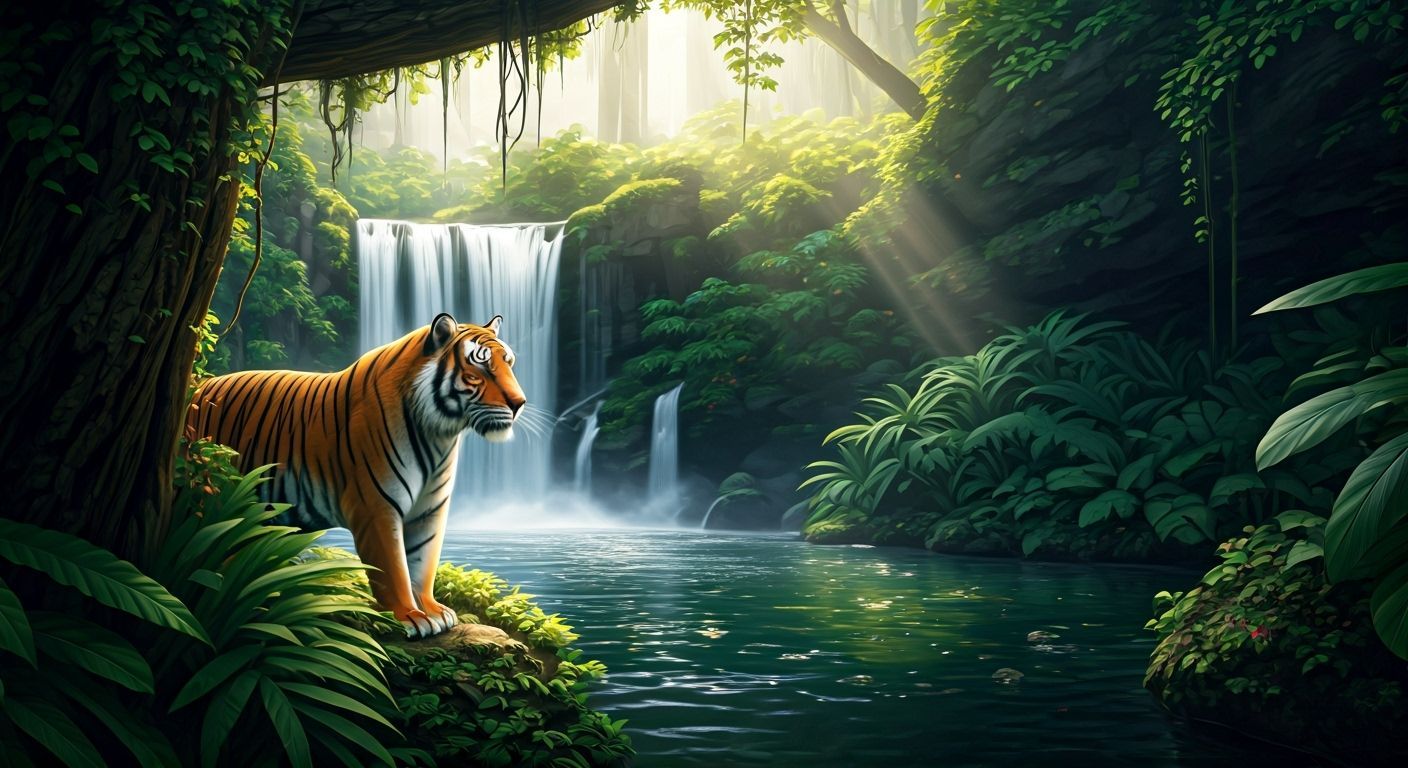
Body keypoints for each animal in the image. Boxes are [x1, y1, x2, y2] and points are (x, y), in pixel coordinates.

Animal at [186, 313, 525, 638]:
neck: (439, 434)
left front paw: (432, 610)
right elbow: (393, 568)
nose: (520, 403)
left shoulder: (430, 510)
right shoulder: (377, 506)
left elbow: (422, 562)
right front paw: (409, 617)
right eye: (479, 370)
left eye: (508, 363)